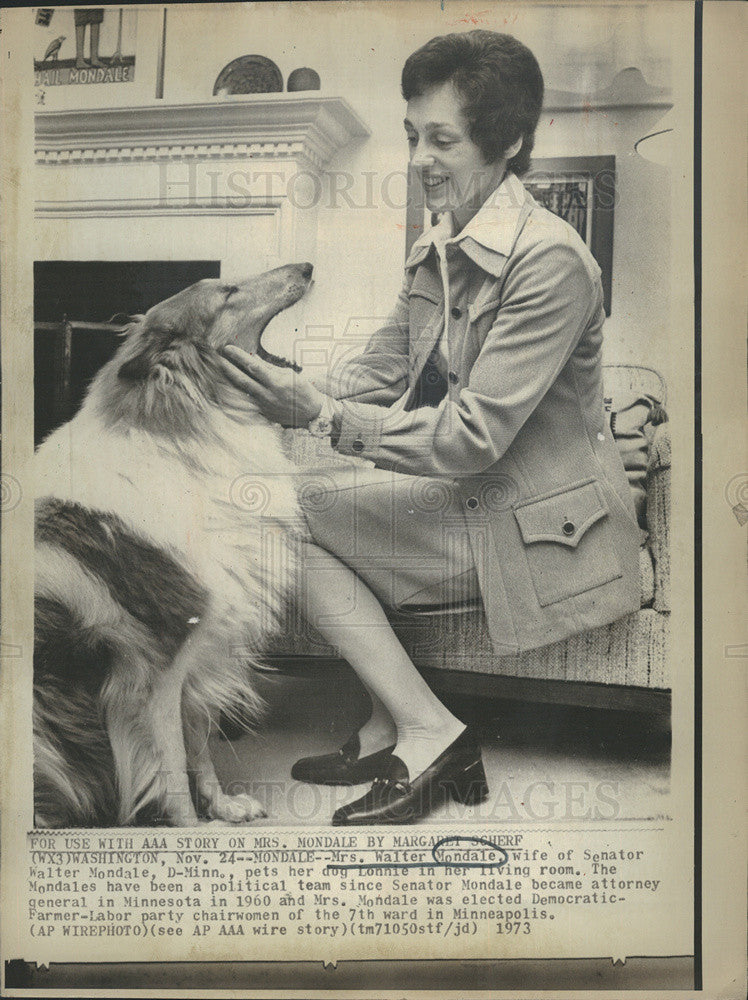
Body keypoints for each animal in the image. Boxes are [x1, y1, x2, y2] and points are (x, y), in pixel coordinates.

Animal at [32, 260, 312, 828]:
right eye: (228, 292)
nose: (309, 268)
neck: (184, 439)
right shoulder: (154, 667)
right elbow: (171, 762)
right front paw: (188, 831)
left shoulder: (200, 650)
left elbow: (199, 745)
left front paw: (223, 809)